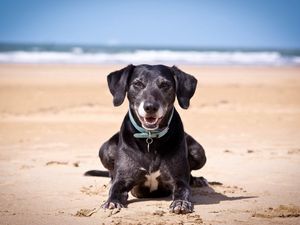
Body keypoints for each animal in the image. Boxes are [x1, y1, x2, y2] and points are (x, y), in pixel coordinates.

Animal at [85, 64, 205, 214]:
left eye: (165, 85)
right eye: (137, 84)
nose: (150, 107)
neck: (150, 137)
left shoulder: (178, 179)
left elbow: (183, 189)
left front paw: (181, 202)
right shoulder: (123, 179)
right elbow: (115, 189)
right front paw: (112, 202)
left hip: (198, 152)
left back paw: (197, 180)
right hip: (106, 149)